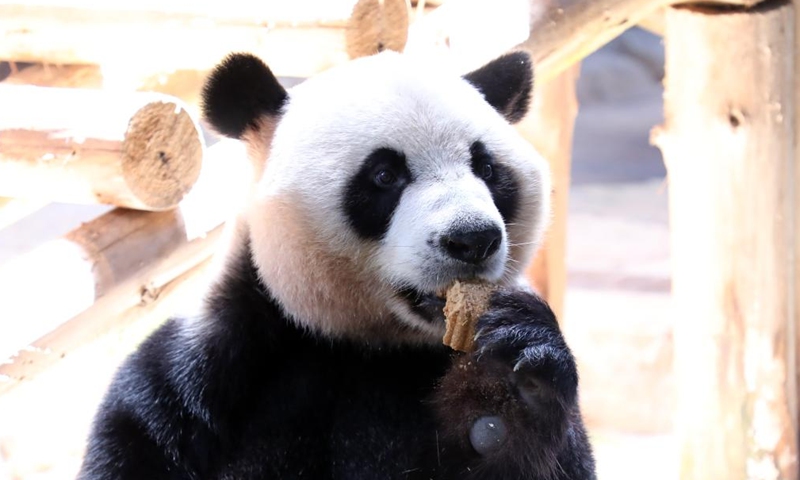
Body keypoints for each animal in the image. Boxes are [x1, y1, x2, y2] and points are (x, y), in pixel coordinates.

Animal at [78, 50, 596, 480]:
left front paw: (509, 388)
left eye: (487, 170)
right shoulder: (198, 380)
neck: (367, 343)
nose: (472, 239)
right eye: (384, 175)